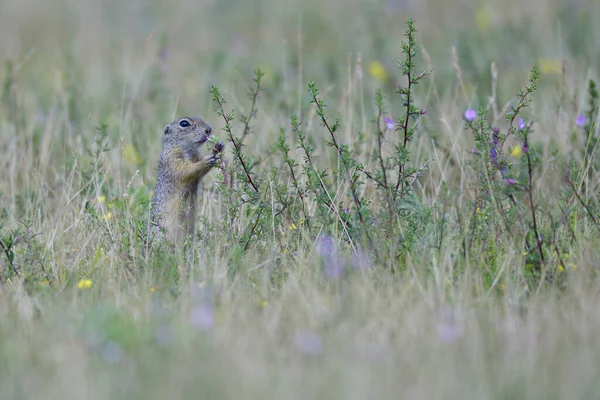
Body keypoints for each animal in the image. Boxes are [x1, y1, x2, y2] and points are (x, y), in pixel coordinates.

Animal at [150, 116, 225, 244]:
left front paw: (217, 147)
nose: (209, 130)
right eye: (184, 123)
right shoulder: (173, 159)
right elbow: (186, 170)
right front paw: (205, 161)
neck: (189, 150)